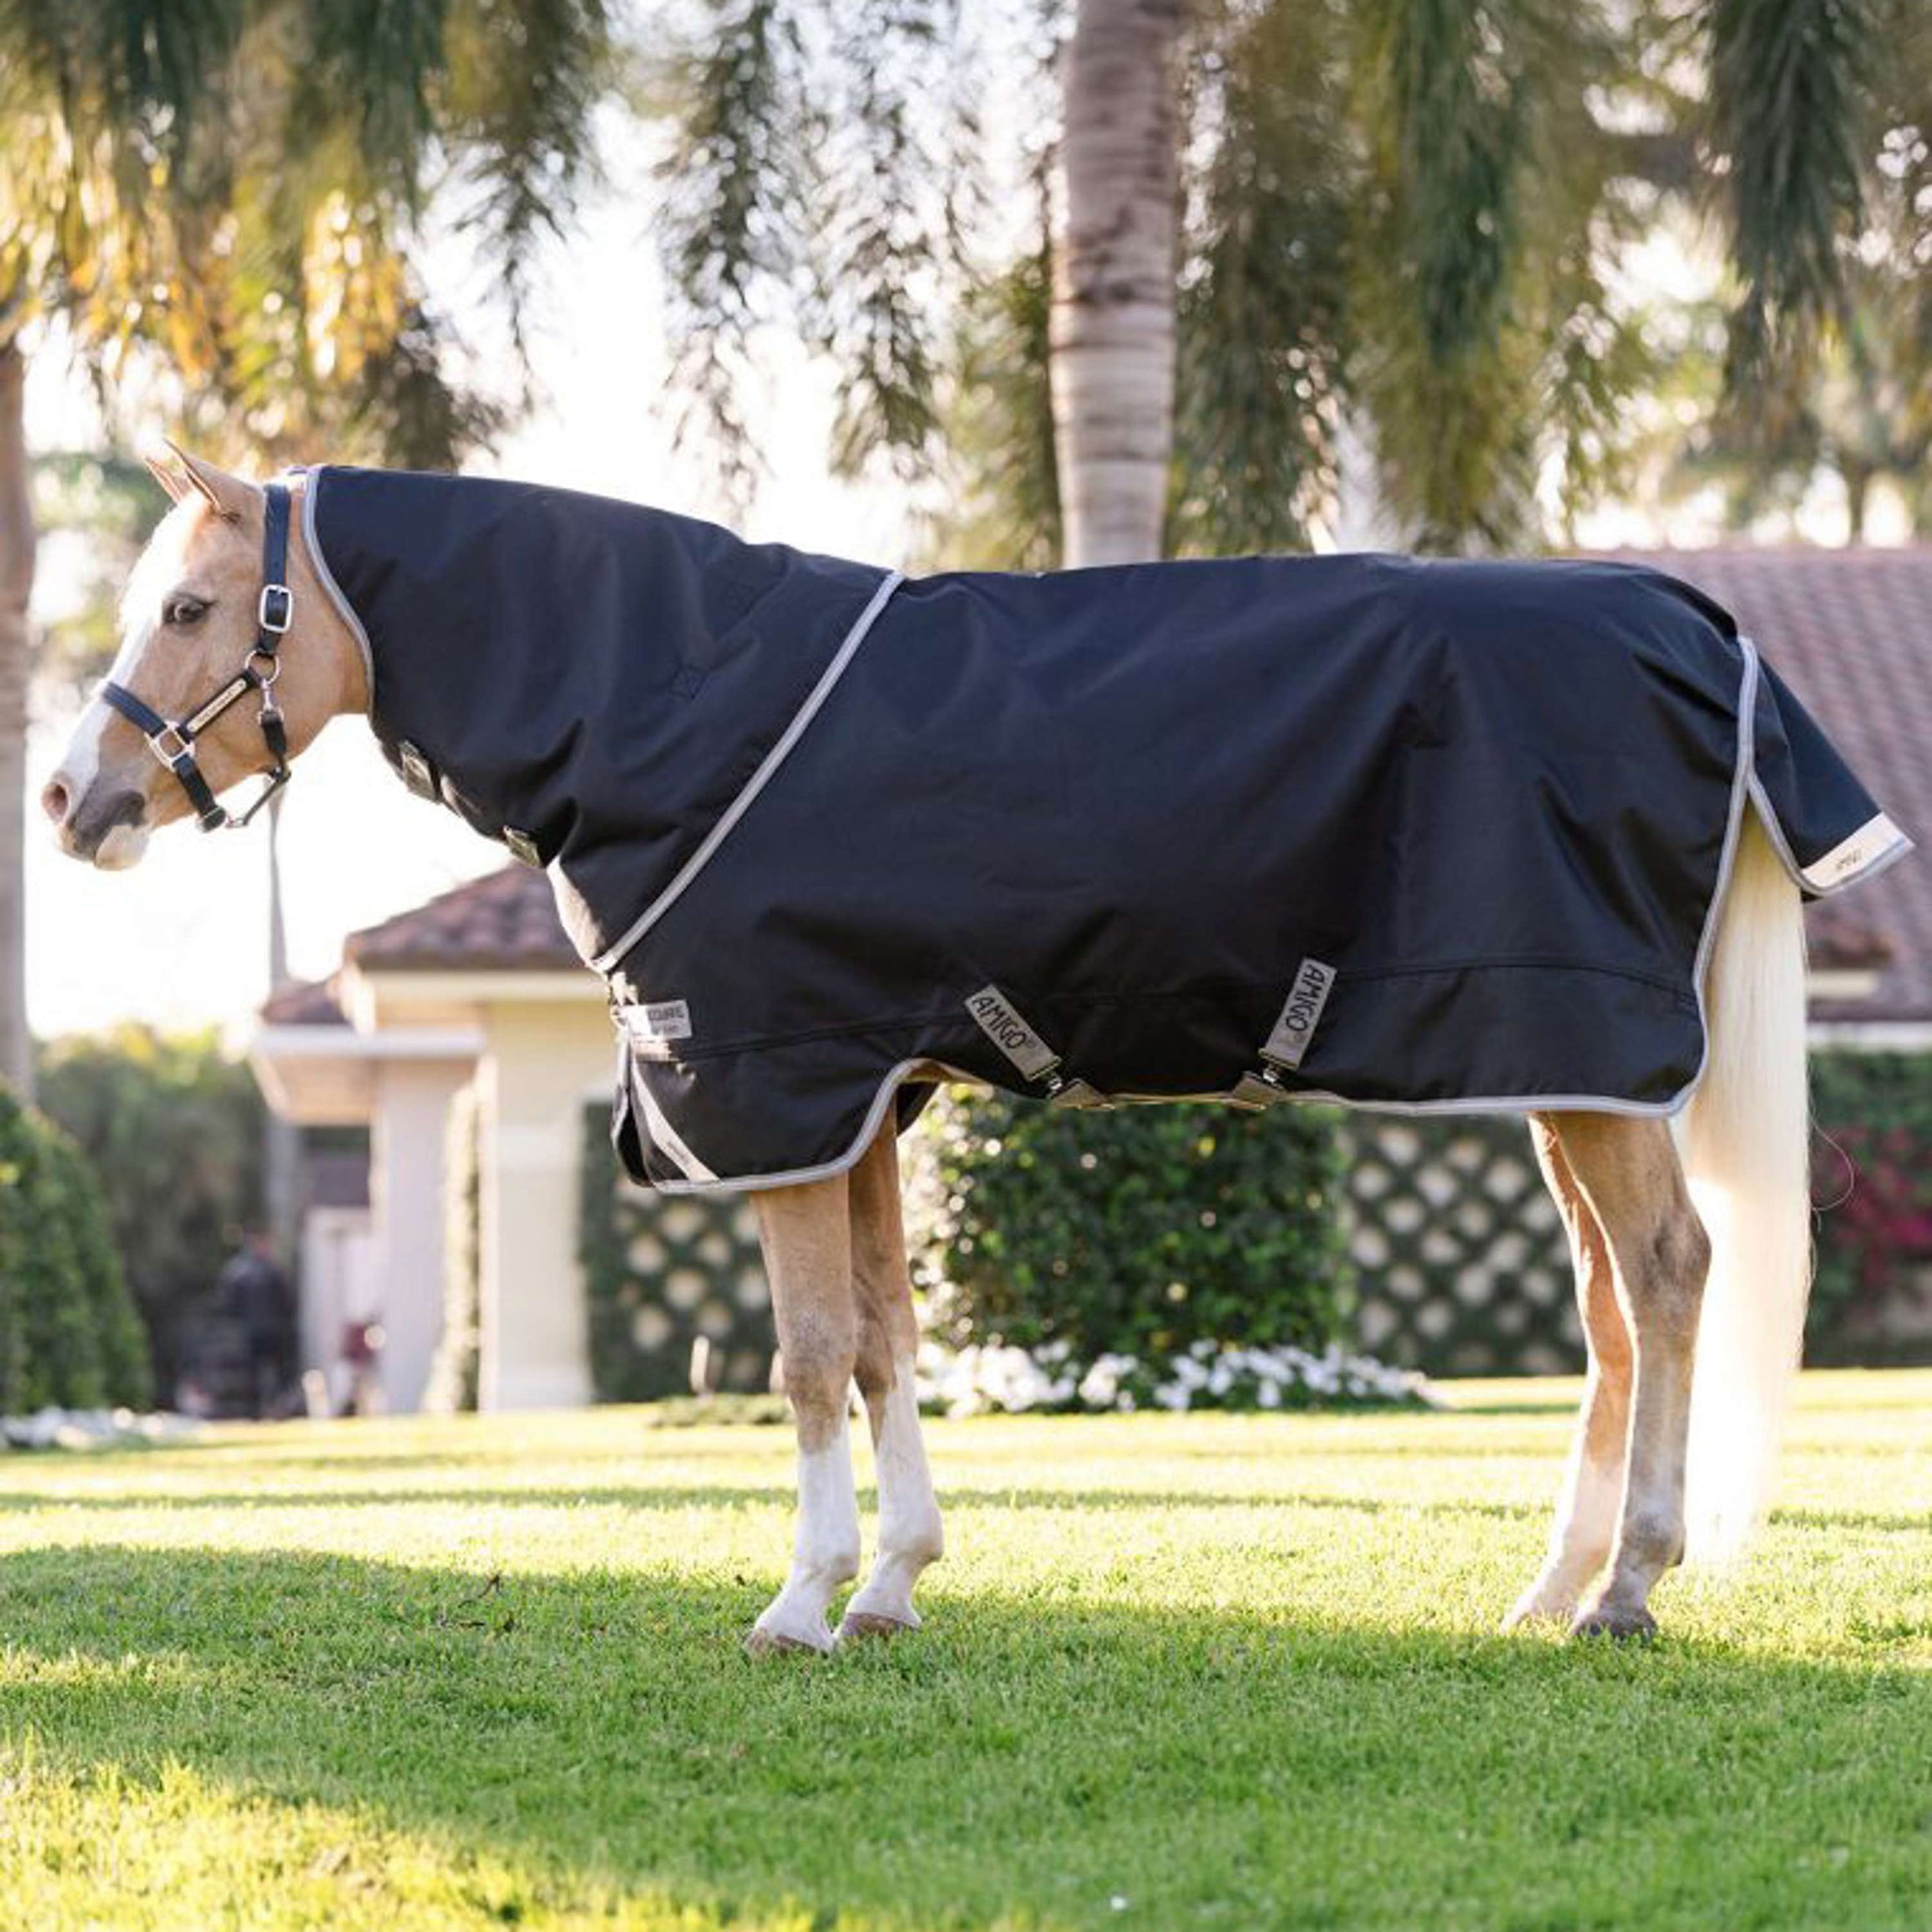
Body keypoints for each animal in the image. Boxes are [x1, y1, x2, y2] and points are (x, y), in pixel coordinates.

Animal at [46, 444, 1843, 1652]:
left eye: (194, 606)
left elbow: (804, 1354)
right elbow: (888, 1339)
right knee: (1612, 1310)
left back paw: (1631, 1588)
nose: (71, 799)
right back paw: (1550, 1589)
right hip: (1561, 1067)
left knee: (1671, 1274)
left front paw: (800, 1601)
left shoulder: (774, 1085)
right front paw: (895, 1585)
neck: (669, 703)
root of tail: (1700, 628)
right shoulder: (862, 1097)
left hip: (1586, 1051)